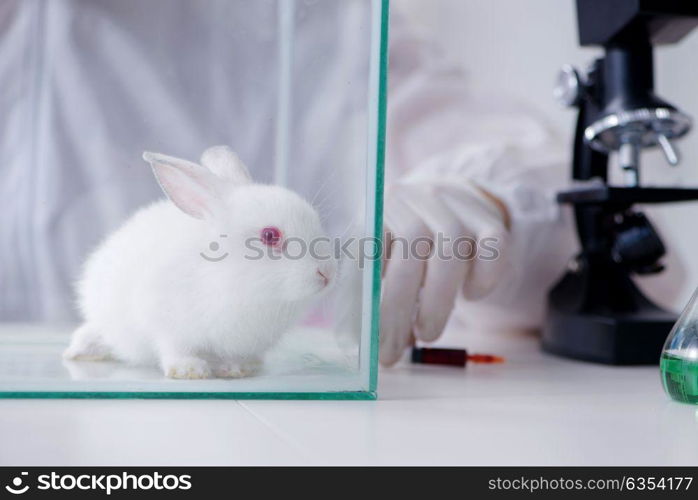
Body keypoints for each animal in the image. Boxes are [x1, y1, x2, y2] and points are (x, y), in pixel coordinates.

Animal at [64, 145, 336, 378]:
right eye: (270, 236)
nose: (327, 273)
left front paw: (238, 369)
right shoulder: (166, 322)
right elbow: (174, 349)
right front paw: (190, 370)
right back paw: (77, 352)